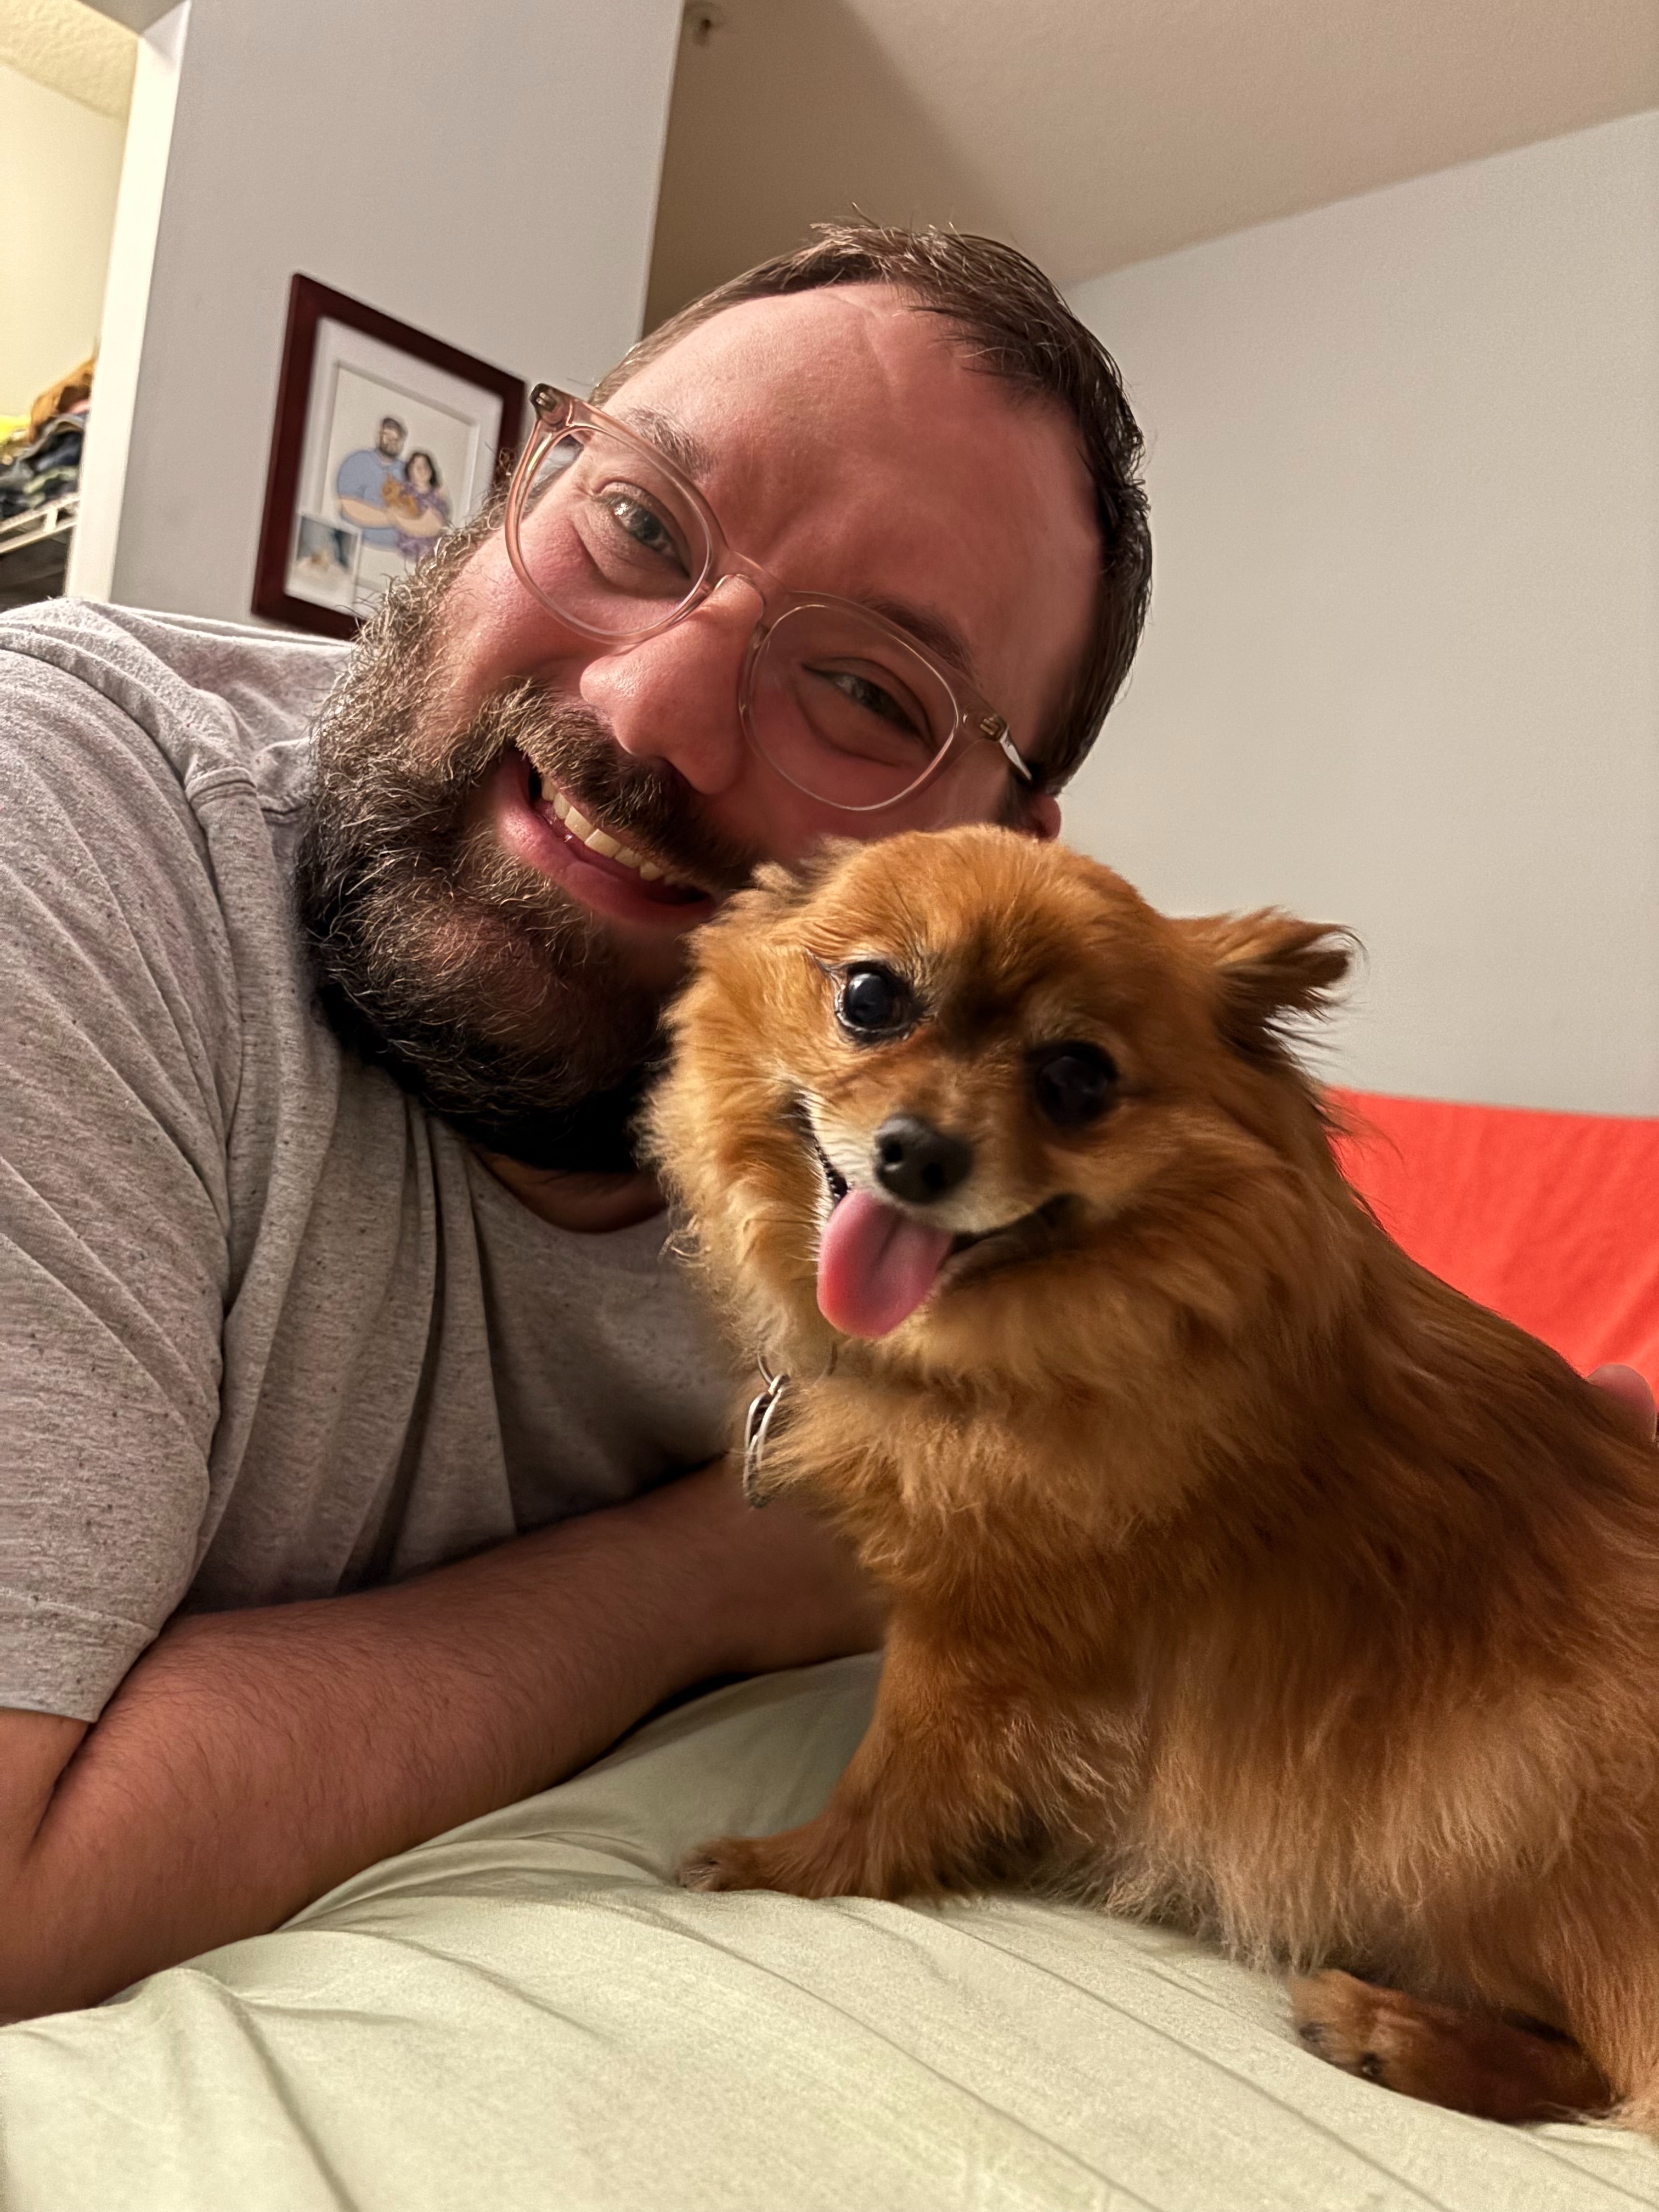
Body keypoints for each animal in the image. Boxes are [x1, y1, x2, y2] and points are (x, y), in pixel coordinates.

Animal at [643, 824, 1658, 2132]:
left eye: (1077, 1078)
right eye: (870, 997)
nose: (918, 1152)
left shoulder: (976, 1643)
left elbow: (888, 1786)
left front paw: (779, 1871)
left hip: (1504, 1790)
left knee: (1604, 2059)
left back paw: (1390, 2031)